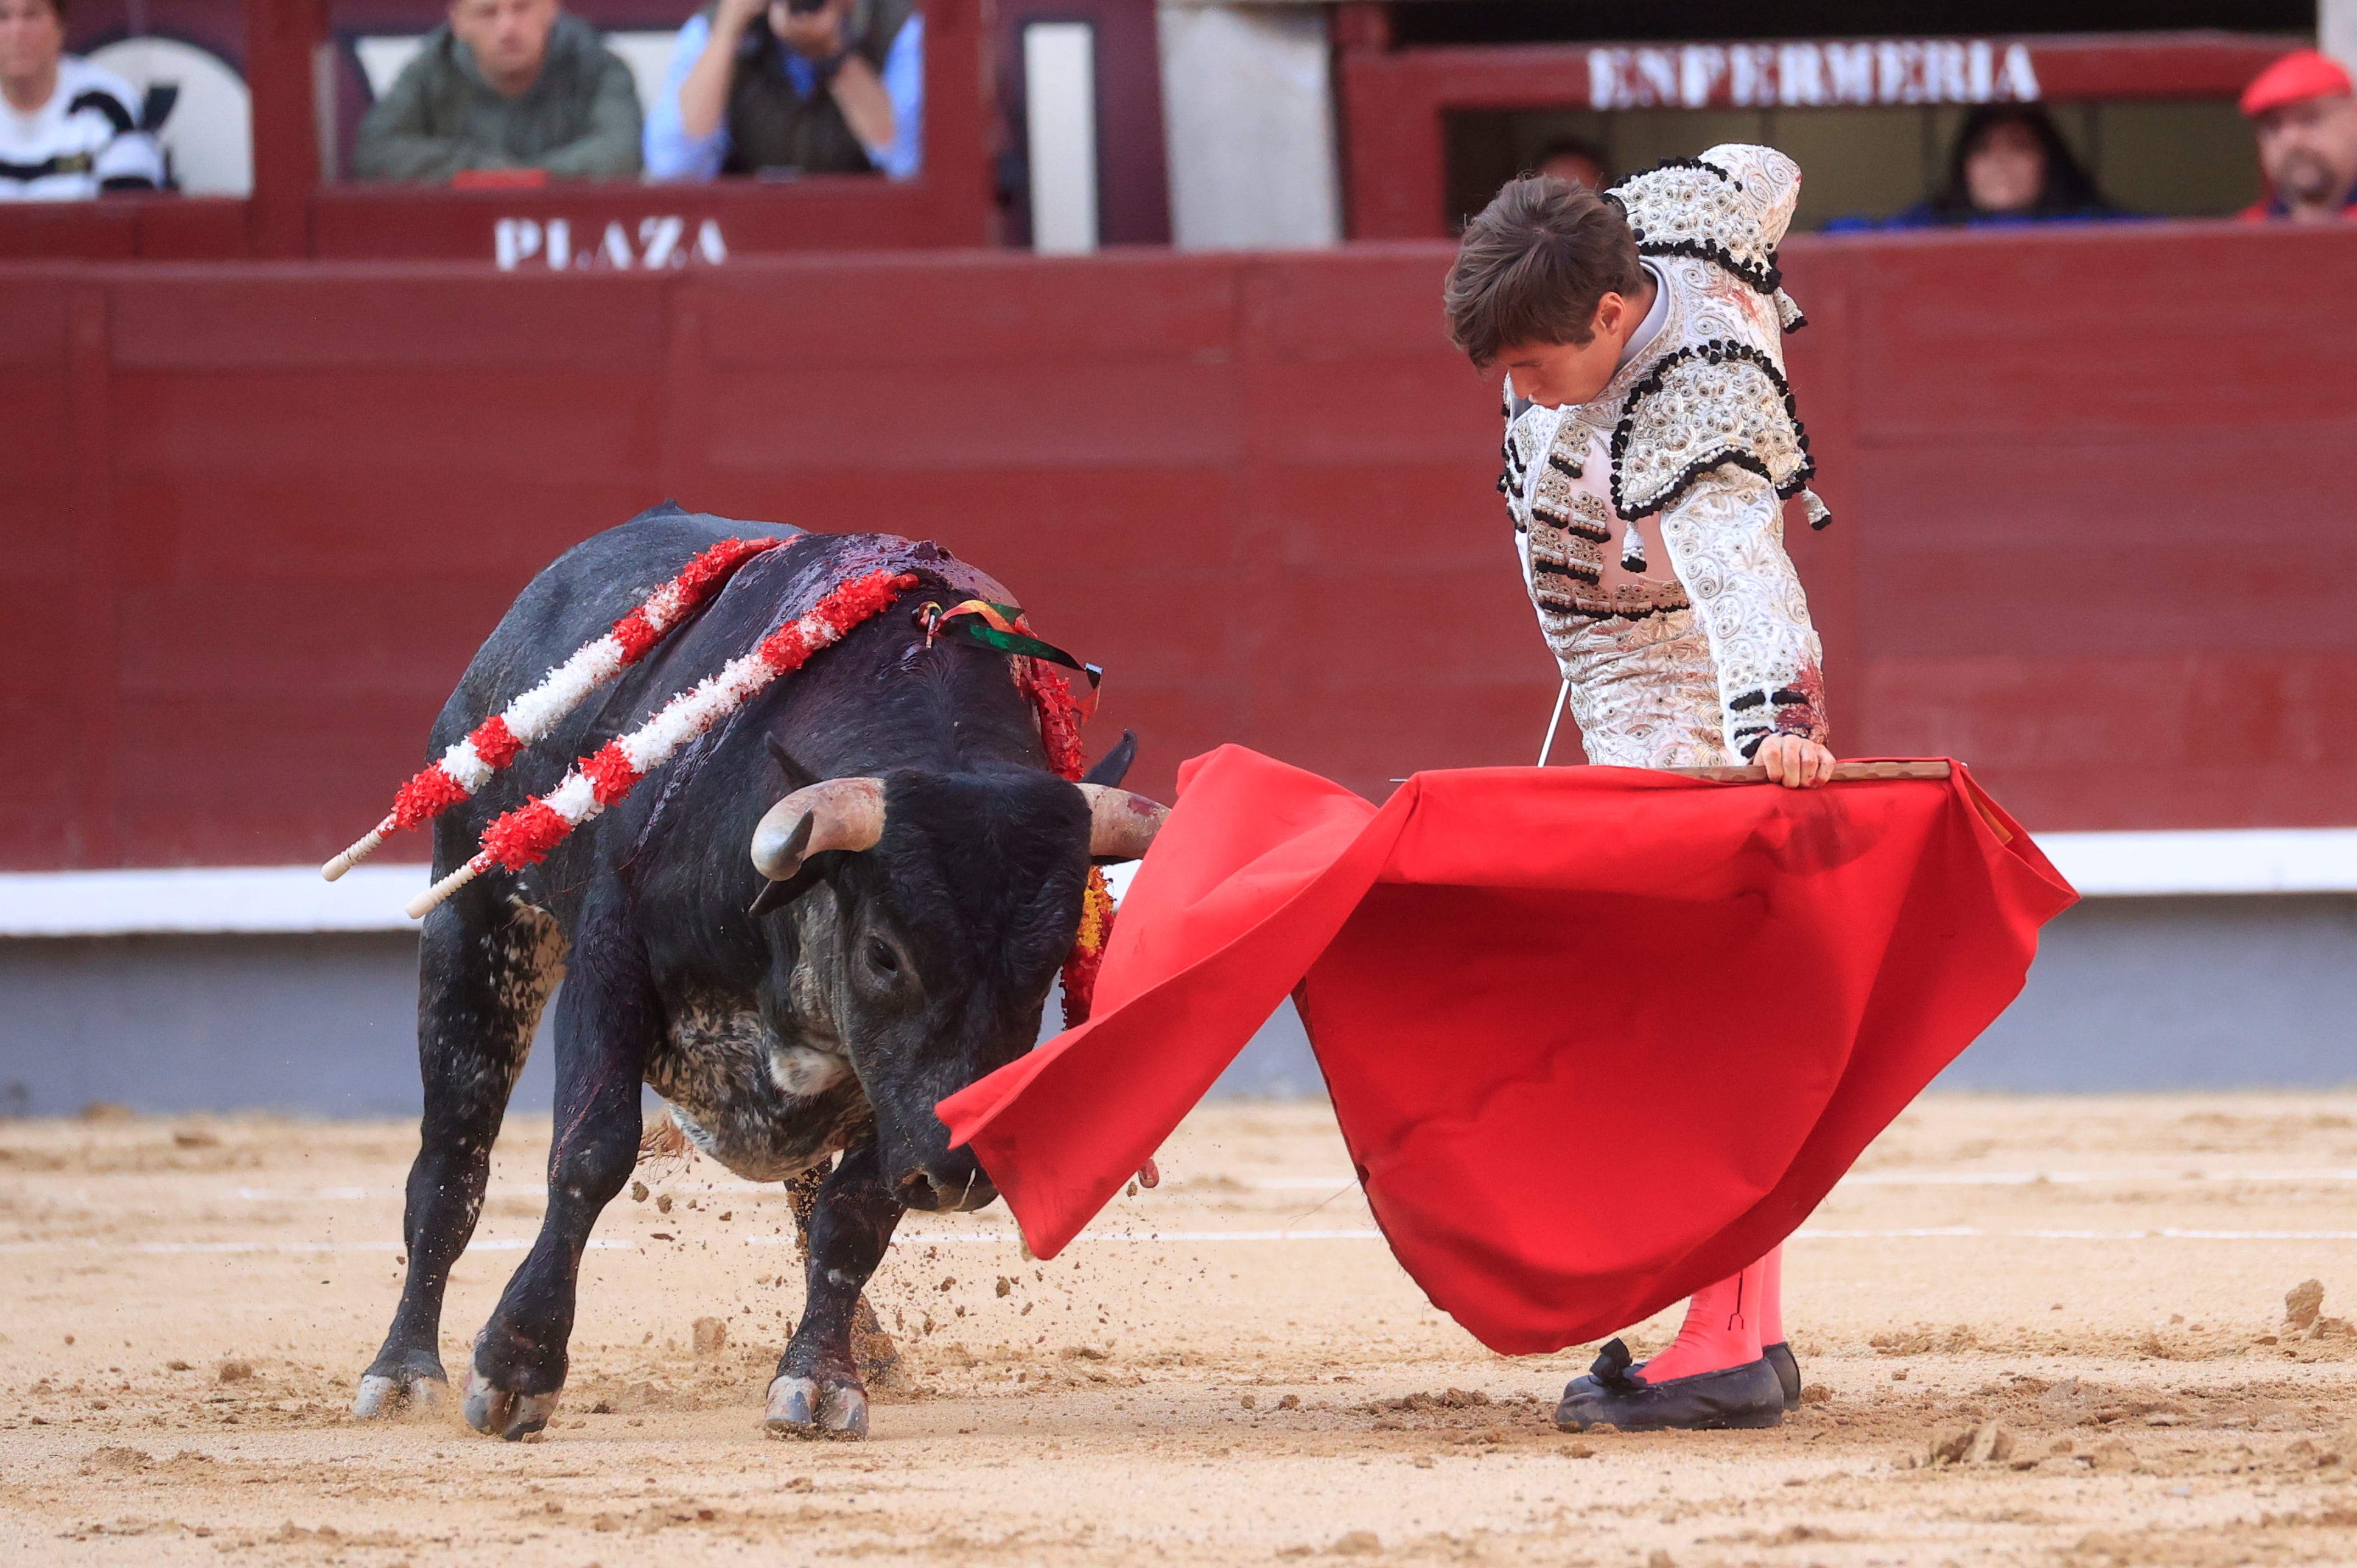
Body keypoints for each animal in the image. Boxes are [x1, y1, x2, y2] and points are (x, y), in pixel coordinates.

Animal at [344, 506, 1164, 1433]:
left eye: (1053, 956)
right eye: (883, 954)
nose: (959, 1177)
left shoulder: (892, 1091)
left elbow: (853, 1211)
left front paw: (821, 1376)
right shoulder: (608, 960)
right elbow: (589, 1153)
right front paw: (519, 1363)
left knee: (807, 1197)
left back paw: (872, 1349)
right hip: (473, 922)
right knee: (451, 1163)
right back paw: (403, 1371)